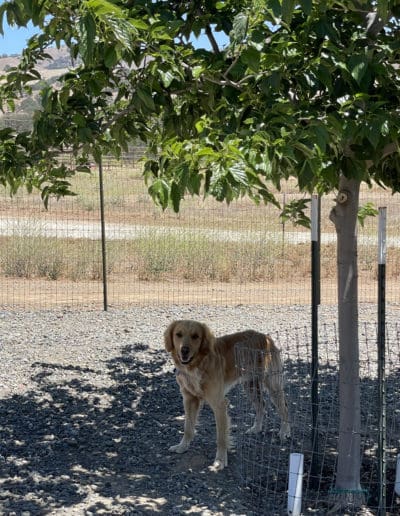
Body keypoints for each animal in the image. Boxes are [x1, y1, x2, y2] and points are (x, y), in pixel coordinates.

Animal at [164, 320, 292, 474]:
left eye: (195, 336)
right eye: (178, 334)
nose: (184, 350)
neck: (197, 365)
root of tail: (265, 337)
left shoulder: (219, 404)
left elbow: (221, 437)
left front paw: (220, 461)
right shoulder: (189, 400)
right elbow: (188, 427)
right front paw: (182, 446)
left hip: (272, 385)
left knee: (284, 408)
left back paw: (285, 431)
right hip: (249, 385)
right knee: (262, 405)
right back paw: (256, 428)